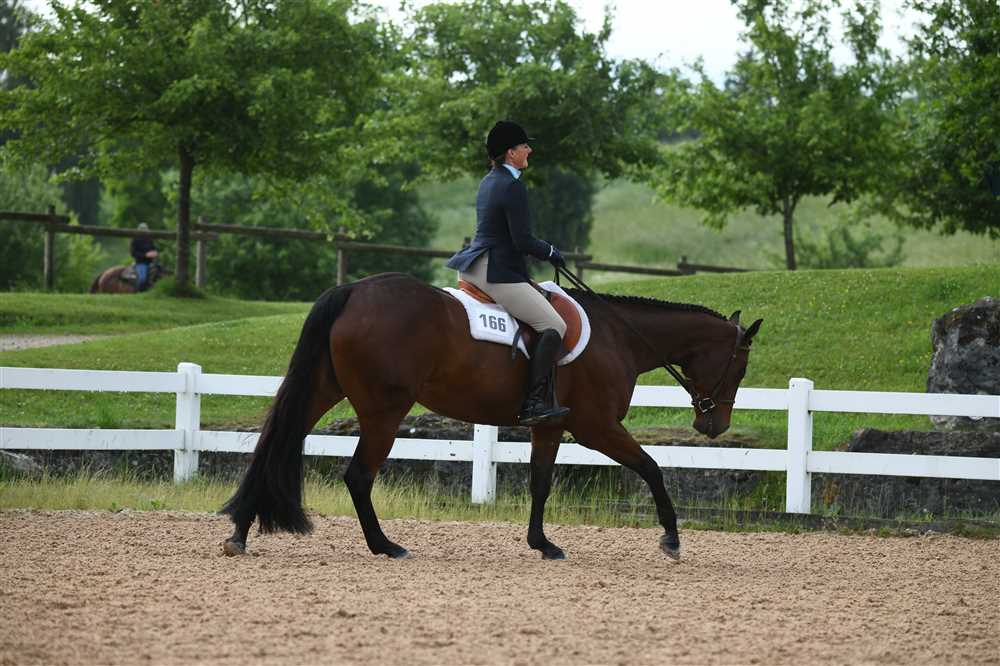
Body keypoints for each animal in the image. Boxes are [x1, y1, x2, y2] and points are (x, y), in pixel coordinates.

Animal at [221, 272, 762, 561]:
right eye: (740, 367)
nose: (713, 426)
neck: (620, 336)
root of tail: (355, 290)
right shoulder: (596, 426)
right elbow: (651, 467)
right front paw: (671, 538)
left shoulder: (551, 425)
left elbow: (540, 483)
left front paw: (542, 543)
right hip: (384, 410)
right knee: (357, 475)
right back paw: (386, 546)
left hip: (324, 391)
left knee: (275, 446)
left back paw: (240, 533)